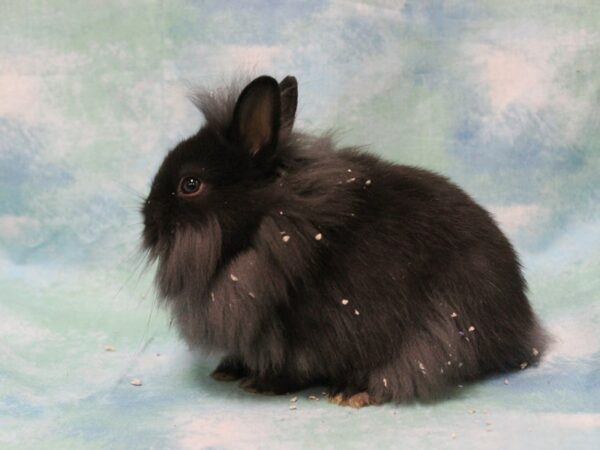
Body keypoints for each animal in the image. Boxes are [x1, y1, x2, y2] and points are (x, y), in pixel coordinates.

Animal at [141, 74, 548, 408]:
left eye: (190, 184)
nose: (147, 218)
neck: (268, 225)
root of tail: (523, 325)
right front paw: (228, 369)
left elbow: (295, 366)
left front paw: (262, 384)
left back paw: (354, 393)